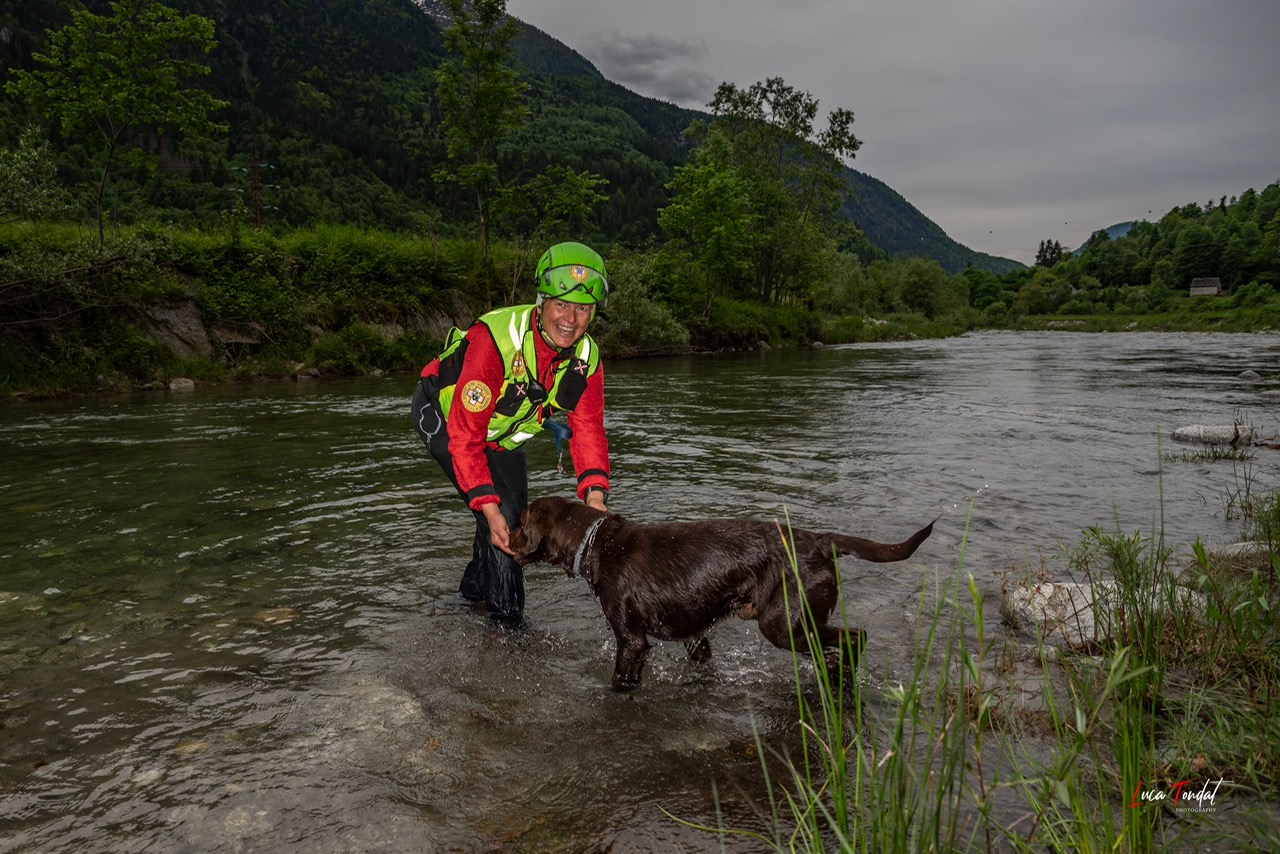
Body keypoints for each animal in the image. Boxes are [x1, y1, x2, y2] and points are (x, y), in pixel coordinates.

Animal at [504, 496, 936, 691]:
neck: (597, 543)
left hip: (784, 624)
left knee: (854, 637)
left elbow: (620, 680)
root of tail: (819, 541)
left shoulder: (632, 640)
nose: (504, 535)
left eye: (522, 521)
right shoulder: (694, 635)